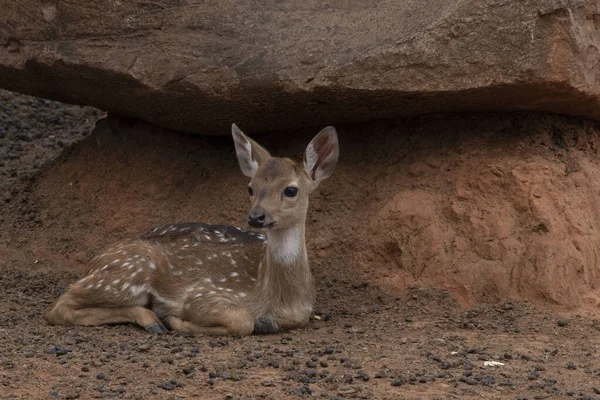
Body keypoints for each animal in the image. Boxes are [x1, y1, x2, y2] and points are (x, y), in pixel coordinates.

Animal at [43, 124, 338, 334]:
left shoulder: (303, 314)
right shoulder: (200, 293)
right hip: (129, 270)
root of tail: (92, 263)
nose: (256, 217)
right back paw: (154, 321)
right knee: (59, 307)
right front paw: (176, 321)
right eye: (250, 188)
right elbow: (243, 321)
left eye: (291, 190)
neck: (277, 297)